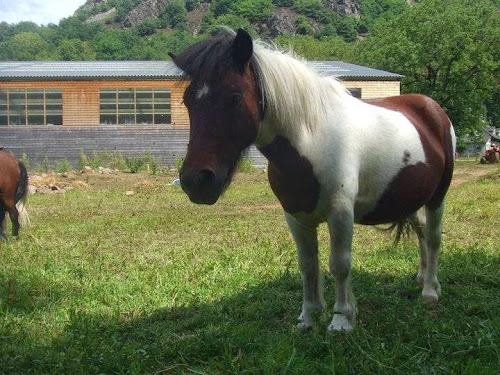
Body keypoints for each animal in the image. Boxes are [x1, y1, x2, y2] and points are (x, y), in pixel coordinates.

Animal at [172, 30, 458, 332]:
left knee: (434, 238)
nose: (196, 181)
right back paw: (421, 278)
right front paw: (308, 317)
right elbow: (308, 266)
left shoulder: (340, 213)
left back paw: (430, 291)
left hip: (438, 197)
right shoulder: (296, 216)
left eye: (234, 97)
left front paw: (341, 319)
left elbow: (340, 264)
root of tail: (432, 109)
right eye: (188, 101)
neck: (312, 142)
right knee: (422, 232)